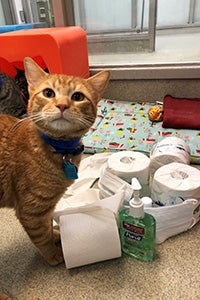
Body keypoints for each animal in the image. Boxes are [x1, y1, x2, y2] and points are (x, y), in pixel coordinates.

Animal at [0, 57, 109, 266]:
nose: (62, 105)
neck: (60, 148)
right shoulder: (32, 210)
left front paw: (56, 236)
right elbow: (42, 236)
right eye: (48, 93)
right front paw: (53, 255)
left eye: (77, 96)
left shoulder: (47, 206)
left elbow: (49, 226)